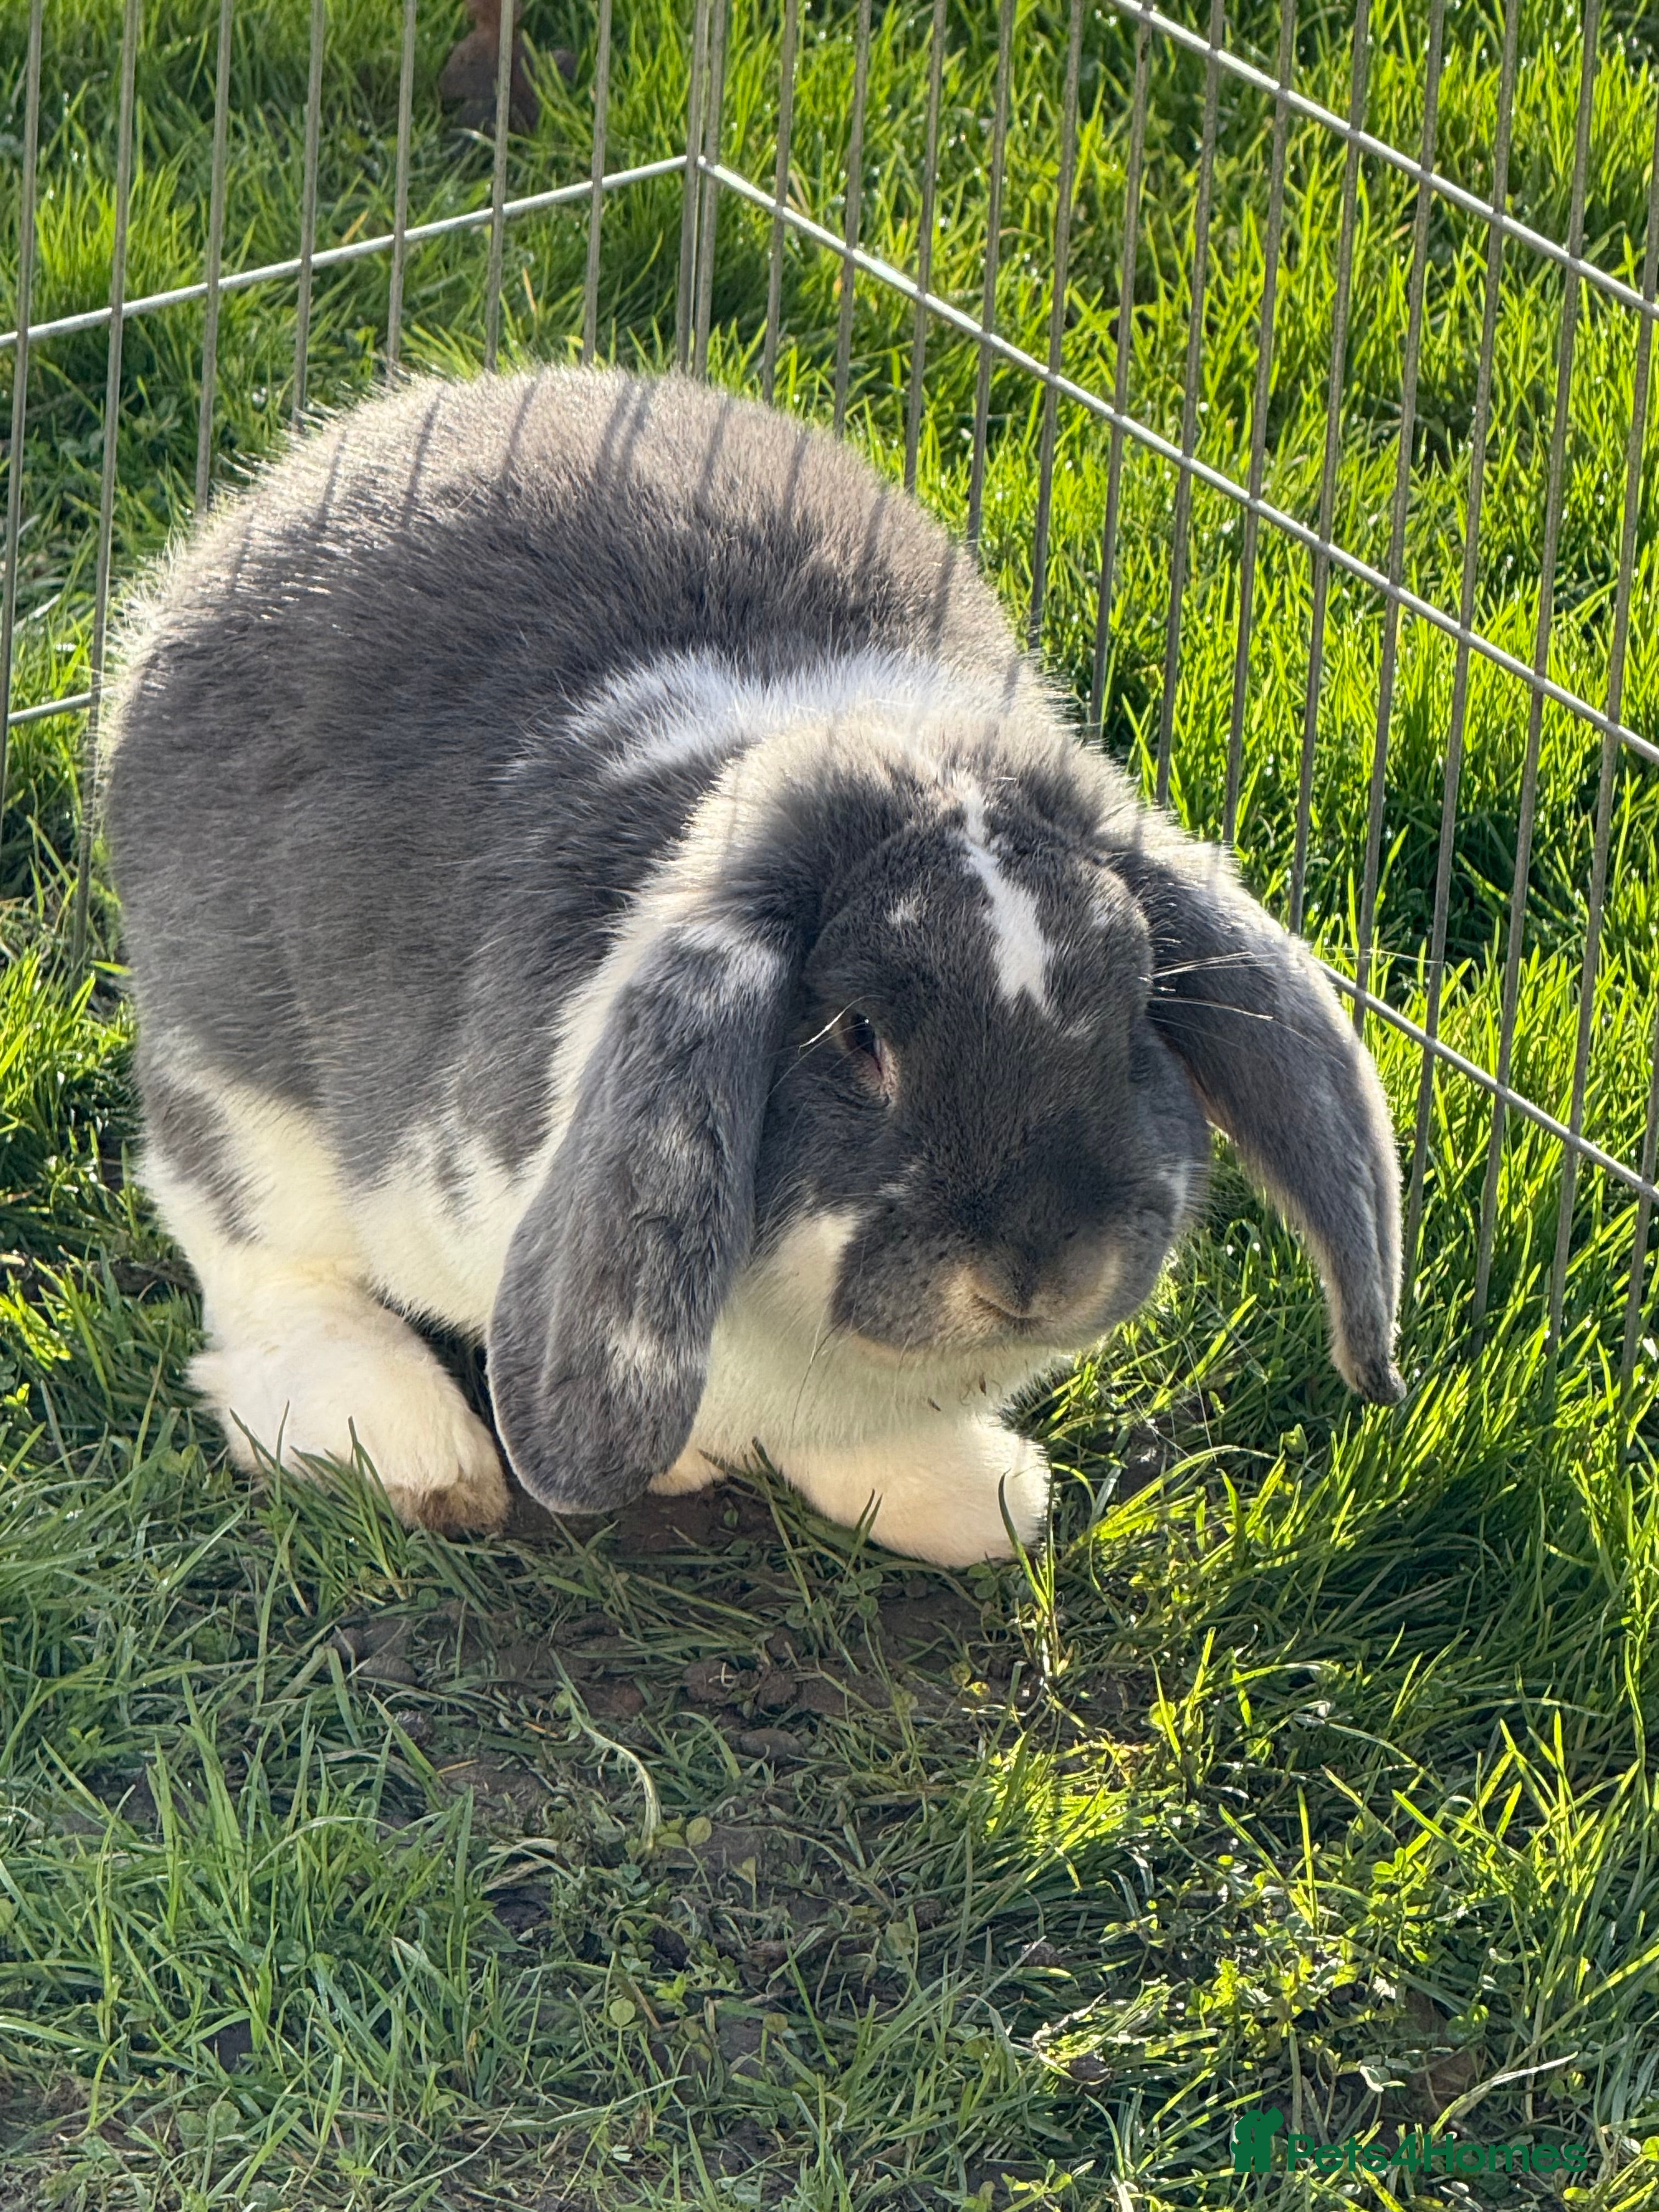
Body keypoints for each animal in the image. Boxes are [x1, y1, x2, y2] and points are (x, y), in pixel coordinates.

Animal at [104, 366, 1404, 1567]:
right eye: (860, 1035)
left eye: (1137, 1003)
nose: (1041, 1265)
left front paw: (975, 1499)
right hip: (238, 1072)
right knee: (257, 1250)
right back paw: (402, 1445)